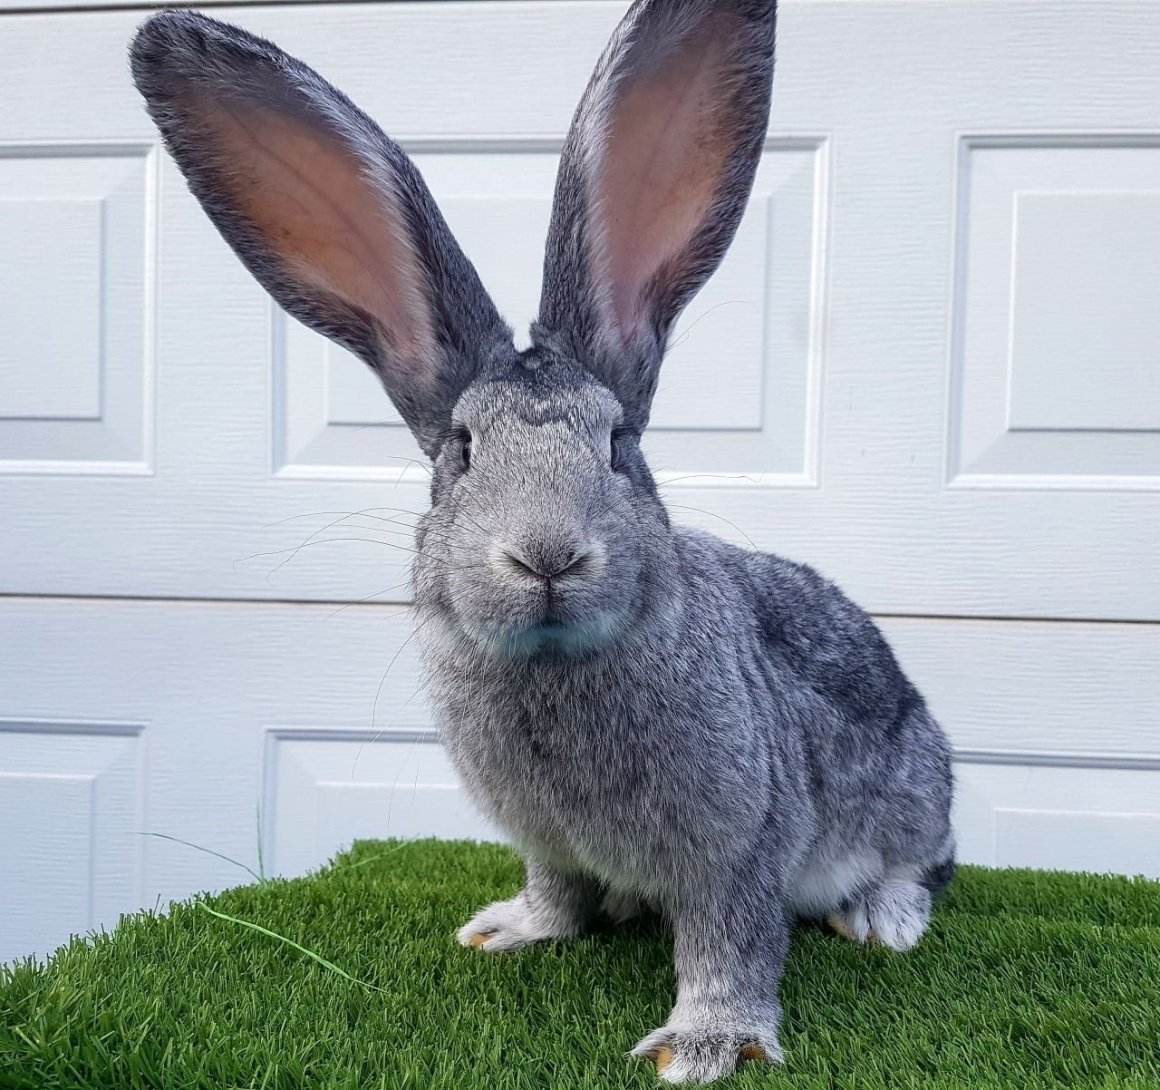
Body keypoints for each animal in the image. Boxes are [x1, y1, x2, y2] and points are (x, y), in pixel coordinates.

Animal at [131, 1, 955, 1083]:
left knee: (923, 859)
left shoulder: (738, 848)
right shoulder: (542, 837)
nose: (547, 556)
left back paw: (882, 917)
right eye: (460, 451)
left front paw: (701, 1046)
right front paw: (511, 930)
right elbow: (556, 886)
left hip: (911, 783)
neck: (554, 665)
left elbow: (729, 942)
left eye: (620, 446)